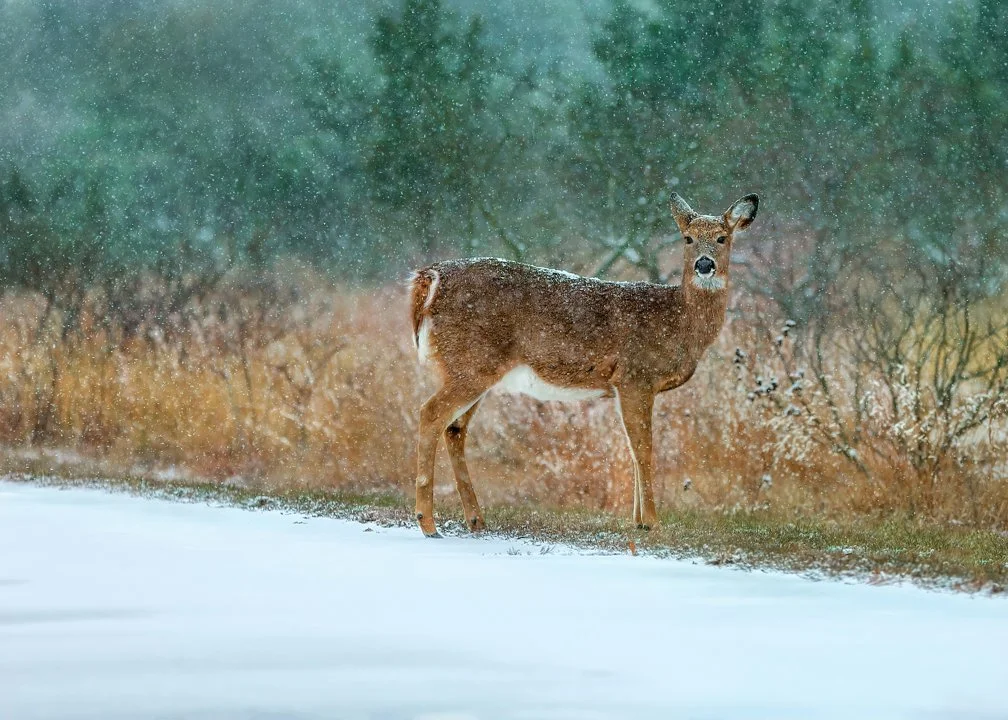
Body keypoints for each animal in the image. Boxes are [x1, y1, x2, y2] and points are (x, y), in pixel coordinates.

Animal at [408, 192, 758, 537]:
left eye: (722, 238)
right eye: (688, 238)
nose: (704, 264)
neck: (679, 322)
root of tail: (428, 279)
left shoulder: (625, 386)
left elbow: (632, 449)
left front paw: (638, 522)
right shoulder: (636, 375)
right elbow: (643, 449)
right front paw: (653, 522)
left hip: (475, 368)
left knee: (455, 428)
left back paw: (476, 519)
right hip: (471, 363)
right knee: (431, 413)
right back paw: (427, 522)